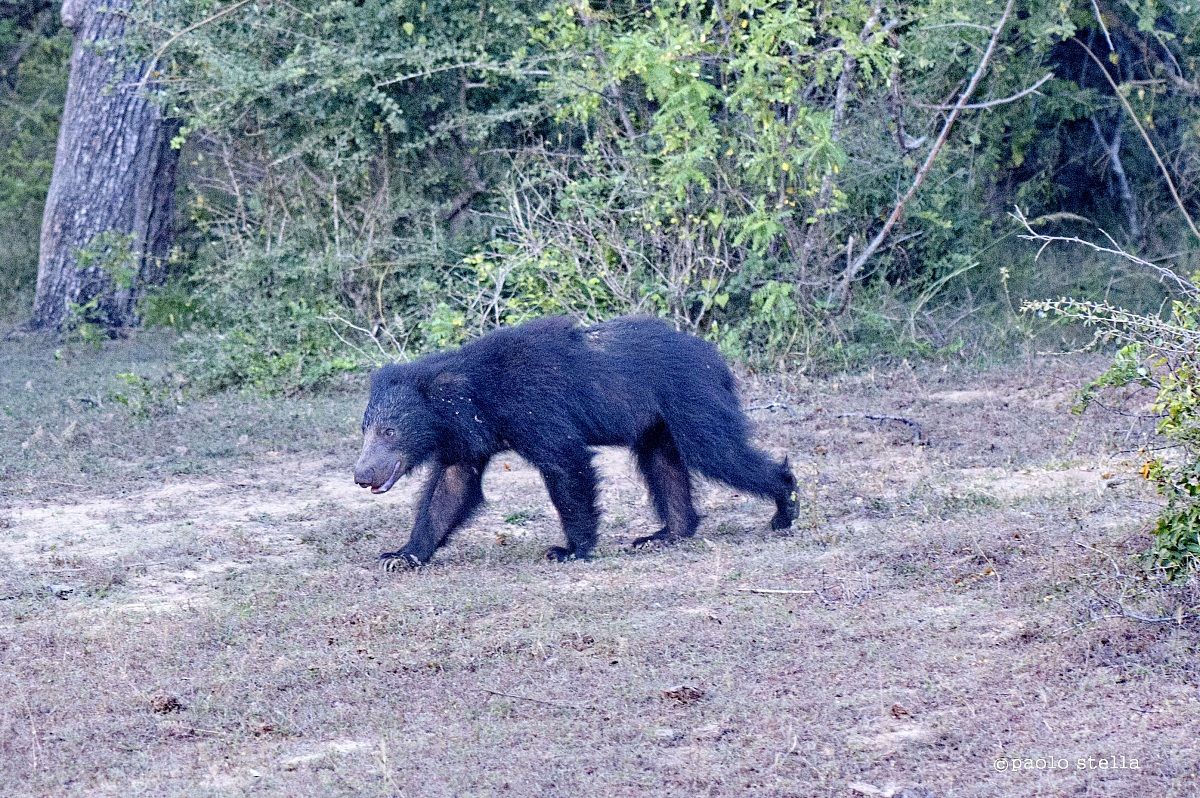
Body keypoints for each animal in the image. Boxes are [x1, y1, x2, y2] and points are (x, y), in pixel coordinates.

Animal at [353, 315, 798, 568]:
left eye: (389, 432)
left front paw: (570, 550)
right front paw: (401, 556)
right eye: (365, 430)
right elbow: (451, 488)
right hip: (657, 423)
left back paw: (785, 506)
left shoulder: (536, 407)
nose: (361, 475)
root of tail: (714, 357)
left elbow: (566, 464)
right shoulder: (465, 439)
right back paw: (664, 534)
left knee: (718, 450)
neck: (475, 398)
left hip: (691, 398)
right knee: (663, 464)